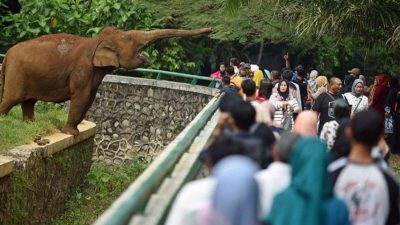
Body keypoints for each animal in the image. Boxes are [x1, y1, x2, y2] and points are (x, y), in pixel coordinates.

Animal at [0, 26, 212, 135]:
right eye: (130, 38)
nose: (209, 31)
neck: (95, 41)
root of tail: (8, 54)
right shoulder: (82, 69)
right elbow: (81, 96)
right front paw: (71, 133)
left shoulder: (94, 75)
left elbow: (90, 98)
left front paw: (75, 130)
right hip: (16, 74)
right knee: (11, 99)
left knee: (28, 101)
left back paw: (29, 125)